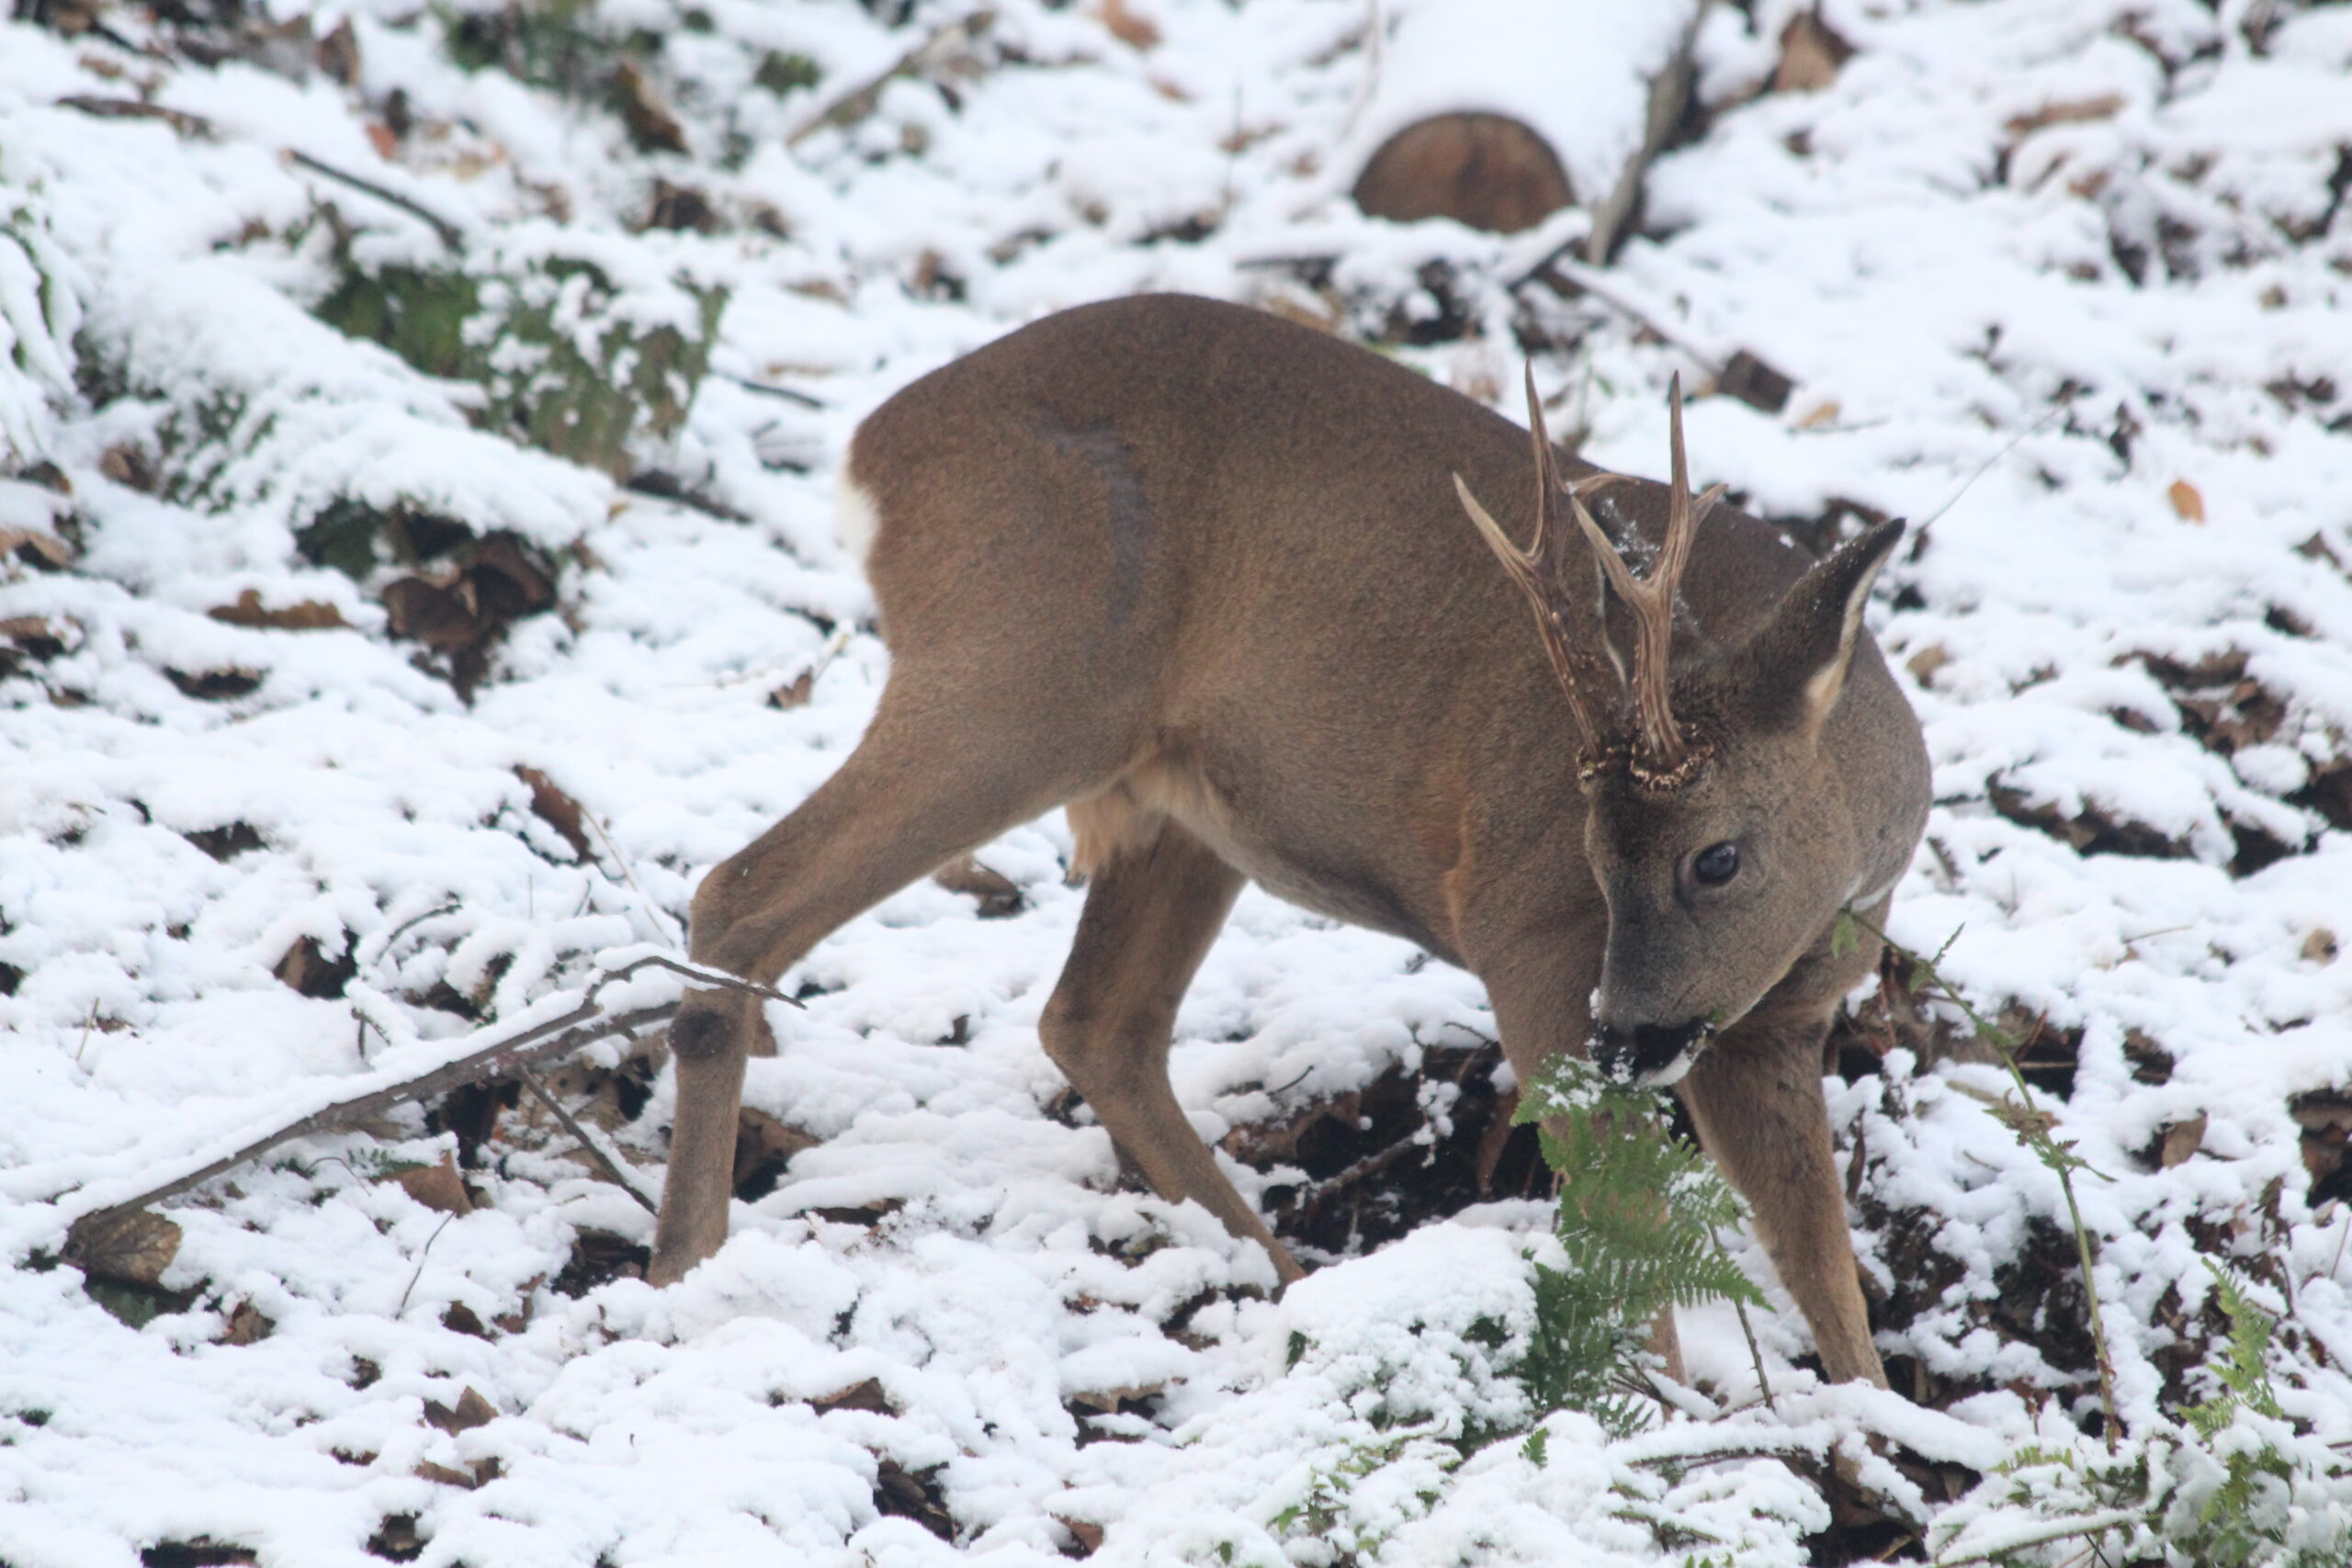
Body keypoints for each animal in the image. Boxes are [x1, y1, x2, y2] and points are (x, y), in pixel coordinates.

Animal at [649, 293, 1929, 1390]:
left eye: (1716, 858)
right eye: (1593, 848)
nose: (1628, 1037)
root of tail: (875, 452)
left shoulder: (1774, 1022)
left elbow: (1821, 1262)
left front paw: (1875, 1430)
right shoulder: (1527, 931)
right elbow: (1626, 1217)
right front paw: (1663, 1419)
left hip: (1177, 797)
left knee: (1096, 1020)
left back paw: (1284, 1284)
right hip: (1021, 675)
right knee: (742, 893)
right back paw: (684, 1272)